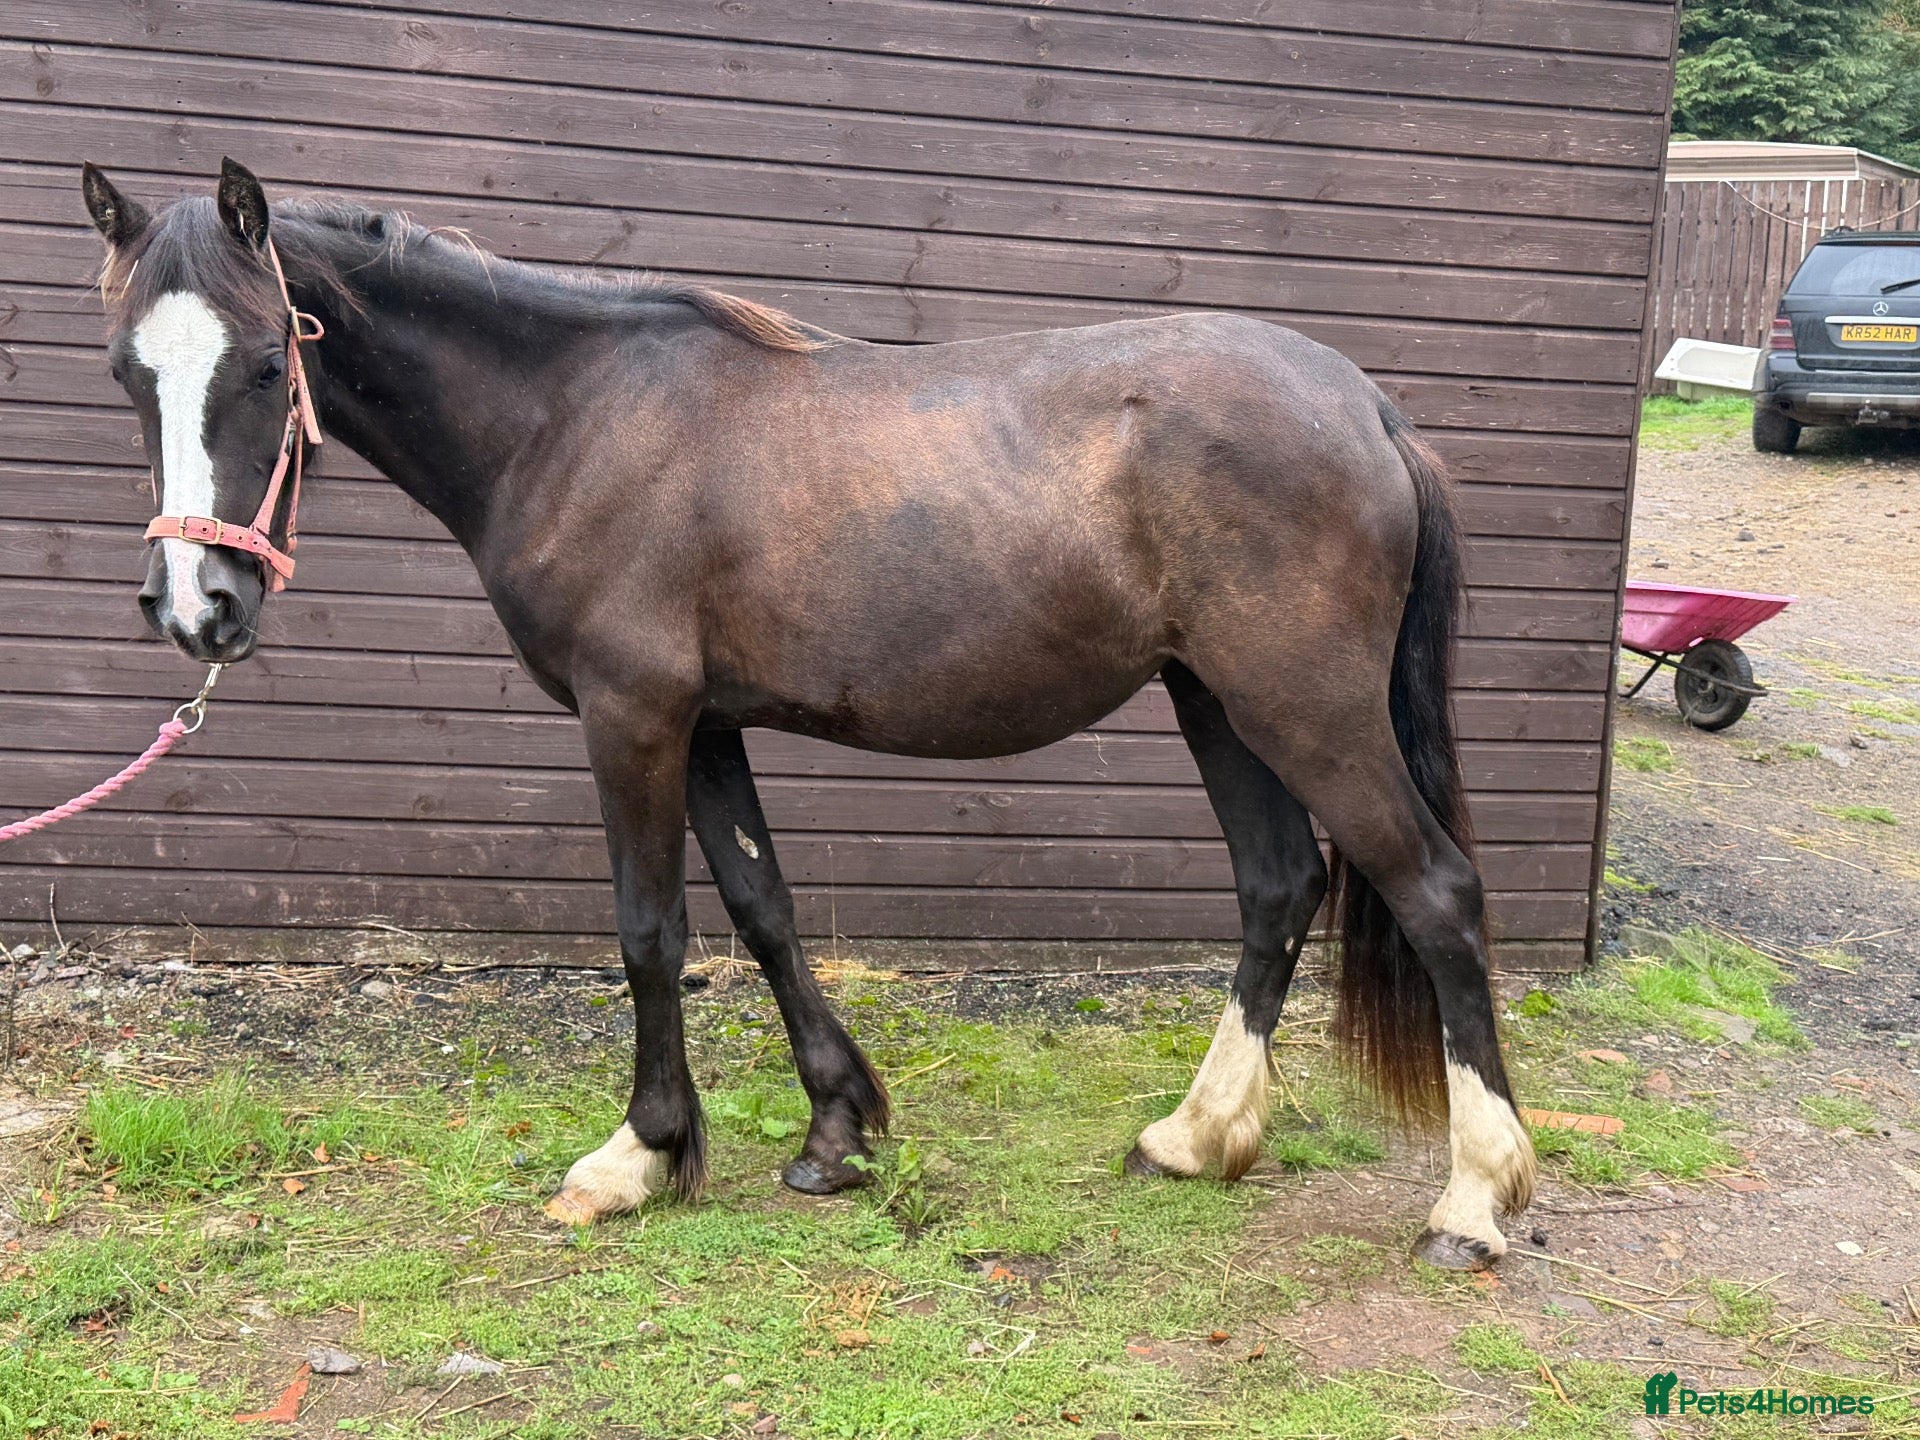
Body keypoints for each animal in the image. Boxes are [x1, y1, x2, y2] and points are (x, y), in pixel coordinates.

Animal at [79, 159, 1535, 1269]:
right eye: (123, 373)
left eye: (267, 360)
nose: (196, 605)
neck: (575, 418)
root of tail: (1366, 405)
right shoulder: (708, 726)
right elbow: (763, 910)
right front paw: (837, 1134)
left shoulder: (632, 716)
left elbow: (651, 932)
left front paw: (640, 1154)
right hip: (1218, 700)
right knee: (1280, 886)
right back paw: (1196, 1137)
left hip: (1300, 704)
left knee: (1436, 892)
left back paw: (1474, 1201)